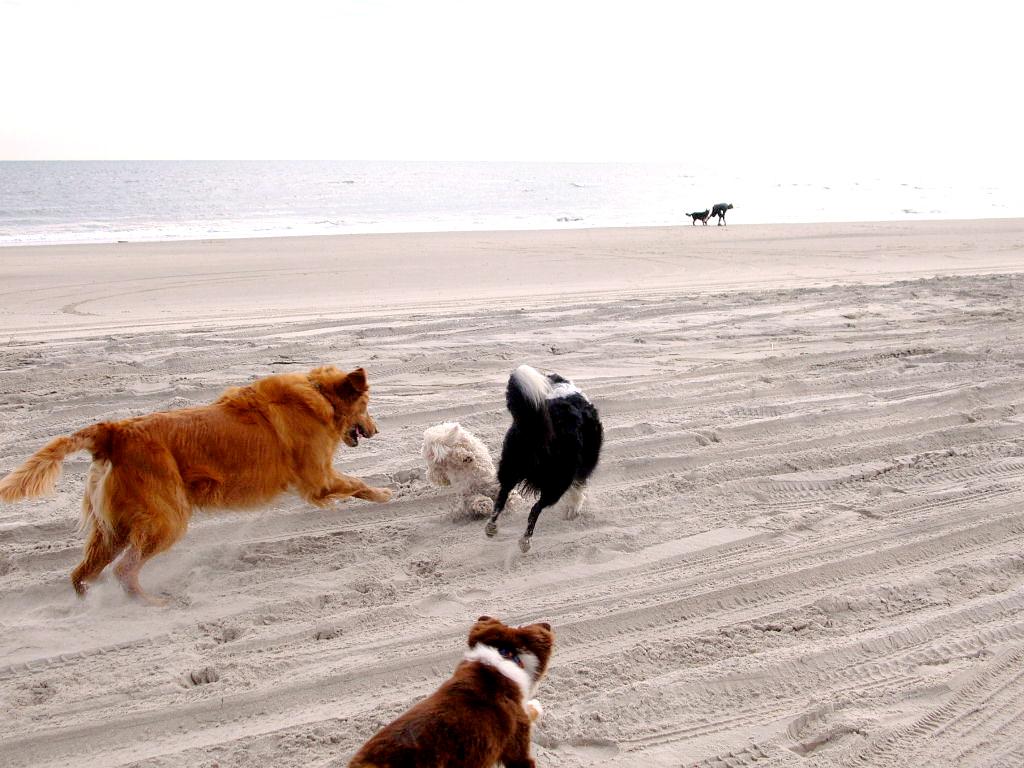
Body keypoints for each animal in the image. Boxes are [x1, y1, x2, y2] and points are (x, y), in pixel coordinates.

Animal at [0, 366, 389, 606]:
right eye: (367, 406)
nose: (376, 430)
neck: (319, 396)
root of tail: (115, 433)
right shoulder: (319, 480)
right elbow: (357, 483)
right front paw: (385, 494)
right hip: (166, 521)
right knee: (124, 571)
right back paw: (152, 603)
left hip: (111, 531)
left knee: (80, 575)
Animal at [485, 366, 602, 552]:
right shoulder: (582, 467)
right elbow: (578, 490)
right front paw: (573, 510)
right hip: (557, 482)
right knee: (535, 509)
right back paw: (525, 541)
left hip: (511, 467)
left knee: (501, 498)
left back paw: (491, 527)